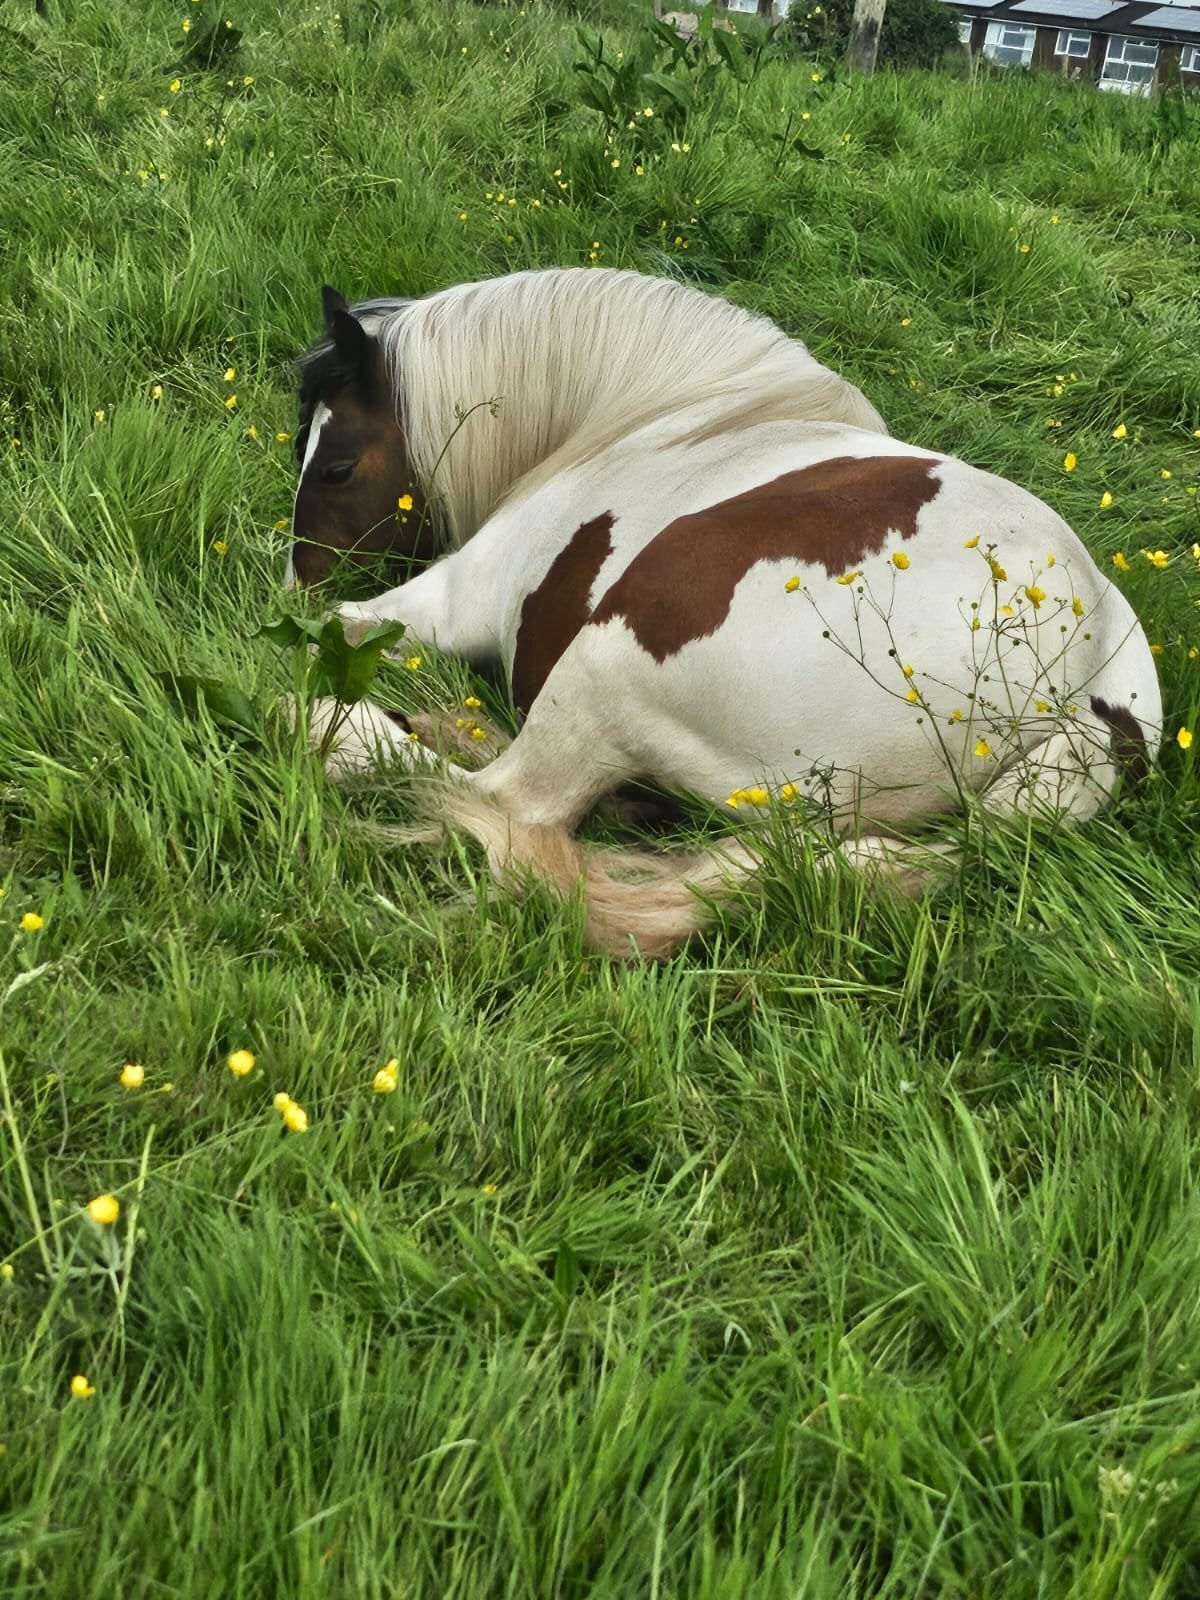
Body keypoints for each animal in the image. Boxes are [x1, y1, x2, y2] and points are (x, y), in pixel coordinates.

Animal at [288, 267, 1161, 958]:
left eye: (337, 466)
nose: (296, 575)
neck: (659, 417)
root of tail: (1090, 704)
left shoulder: (451, 598)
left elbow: (339, 628)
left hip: (603, 673)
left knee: (508, 797)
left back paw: (342, 730)